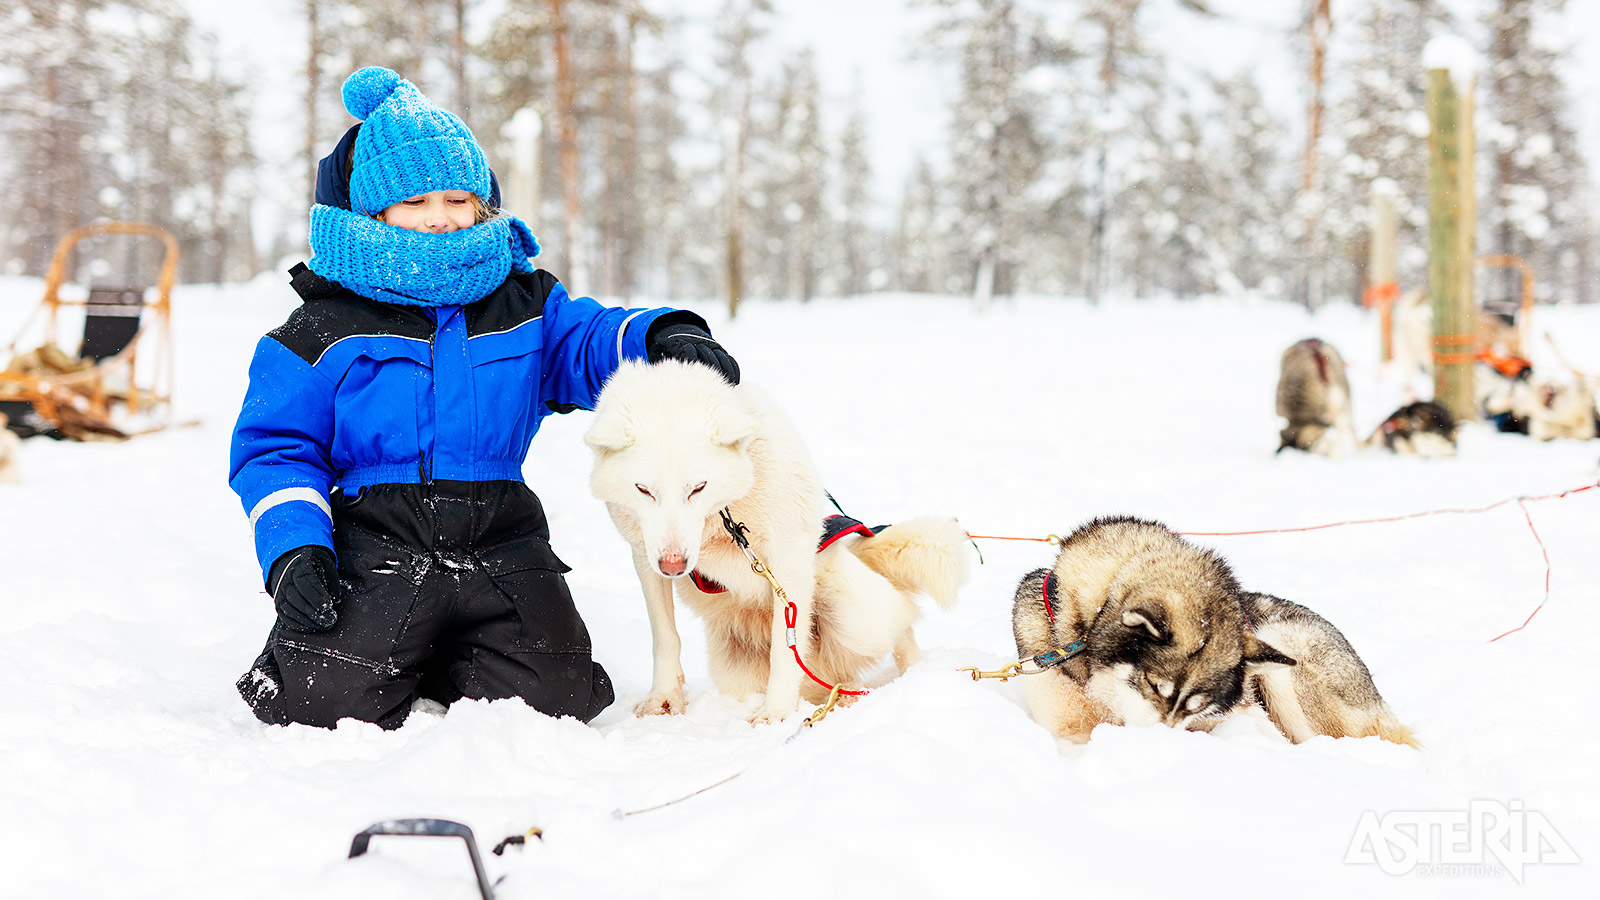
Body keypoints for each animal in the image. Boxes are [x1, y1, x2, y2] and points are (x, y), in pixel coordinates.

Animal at [585, 357, 966, 720]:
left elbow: (784, 652)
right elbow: (665, 636)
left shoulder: (787, 564)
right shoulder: (644, 557)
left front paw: (776, 712)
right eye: (643, 489)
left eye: (698, 488)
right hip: (736, 667)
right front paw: (664, 696)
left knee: (900, 620)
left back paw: (910, 674)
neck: (723, 518)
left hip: (853, 615)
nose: (674, 565)